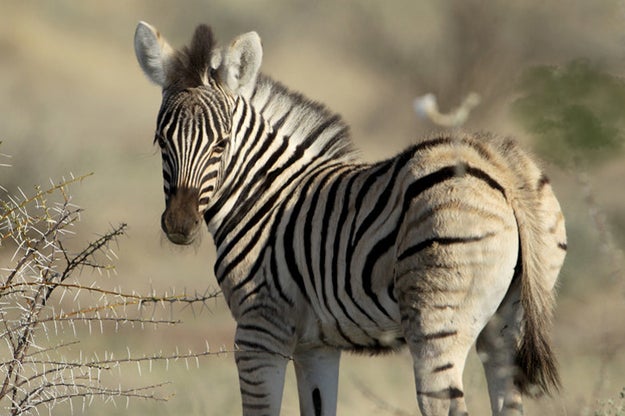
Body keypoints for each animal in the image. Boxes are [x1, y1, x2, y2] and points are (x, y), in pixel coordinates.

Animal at [135, 22, 564, 416]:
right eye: (160, 140)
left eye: (222, 144)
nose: (180, 224)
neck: (264, 195)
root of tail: (497, 162)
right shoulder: (316, 346)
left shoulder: (260, 329)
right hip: (505, 327)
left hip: (435, 322)